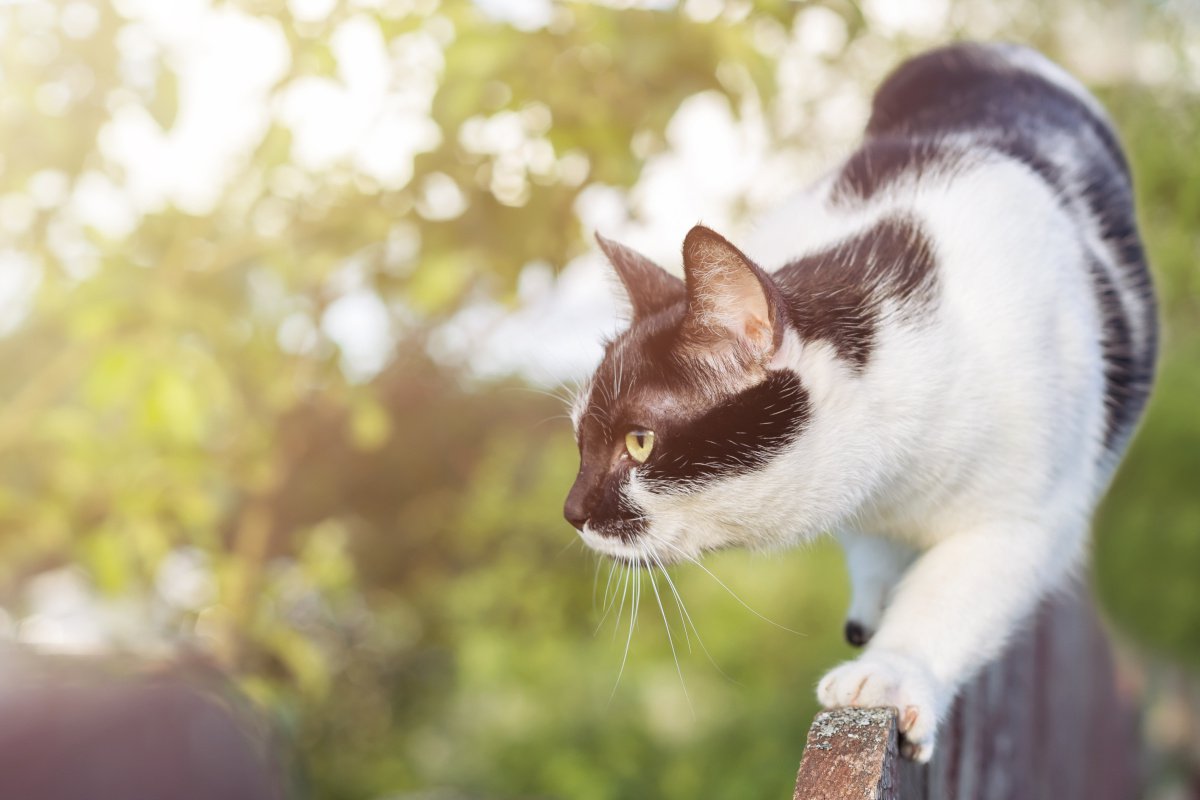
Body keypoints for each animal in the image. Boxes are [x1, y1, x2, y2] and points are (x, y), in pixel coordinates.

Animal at [566, 45, 1156, 762]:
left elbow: (955, 593)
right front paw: (877, 598)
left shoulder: (1029, 514)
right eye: (580, 440)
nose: (572, 511)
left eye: (640, 441)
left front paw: (891, 669)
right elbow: (874, 550)